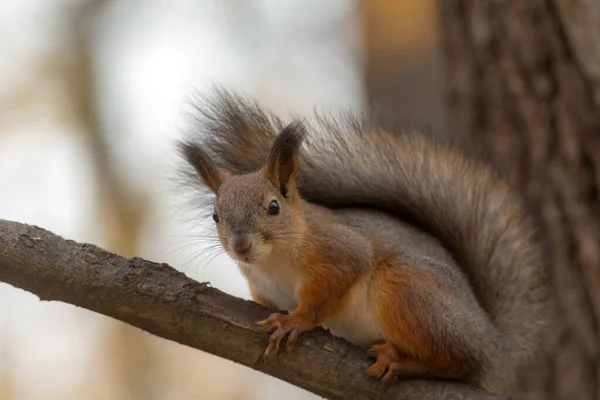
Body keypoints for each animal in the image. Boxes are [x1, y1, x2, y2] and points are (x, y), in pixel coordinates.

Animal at [176, 89, 552, 396]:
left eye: (273, 207)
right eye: (215, 216)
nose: (240, 246)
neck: (273, 262)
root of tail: (494, 345)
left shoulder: (341, 251)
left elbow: (329, 290)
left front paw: (295, 321)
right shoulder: (264, 288)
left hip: (408, 290)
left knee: (458, 361)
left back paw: (403, 361)